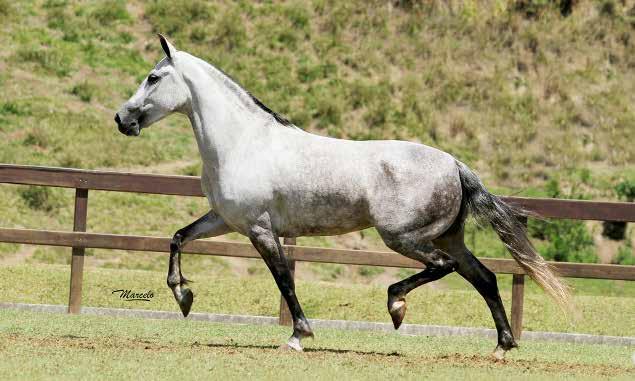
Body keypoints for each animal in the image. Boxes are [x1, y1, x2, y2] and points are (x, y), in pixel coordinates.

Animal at [115, 35, 572, 360]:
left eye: (153, 78)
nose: (121, 119)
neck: (243, 143)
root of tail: (454, 164)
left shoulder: (260, 229)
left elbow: (284, 279)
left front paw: (298, 336)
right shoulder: (225, 220)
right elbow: (177, 238)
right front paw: (183, 297)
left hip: (404, 237)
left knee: (444, 268)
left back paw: (397, 305)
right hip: (448, 237)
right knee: (485, 277)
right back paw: (501, 346)